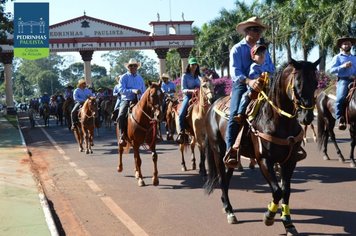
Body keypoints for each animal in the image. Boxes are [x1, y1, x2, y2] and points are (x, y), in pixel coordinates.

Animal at [203, 58, 320, 235]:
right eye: (297, 83)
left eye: (315, 82)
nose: (307, 116)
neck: (277, 120)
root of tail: (212, 105)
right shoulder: (264, 160)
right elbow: (277, 191)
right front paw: (269, 216)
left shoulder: (290, 161)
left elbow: (286, 191)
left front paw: (288, 223)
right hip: (218, 151)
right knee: (222, 180)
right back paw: (229, 211)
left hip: (232, 157)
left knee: (227, 178)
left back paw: (227, 206)